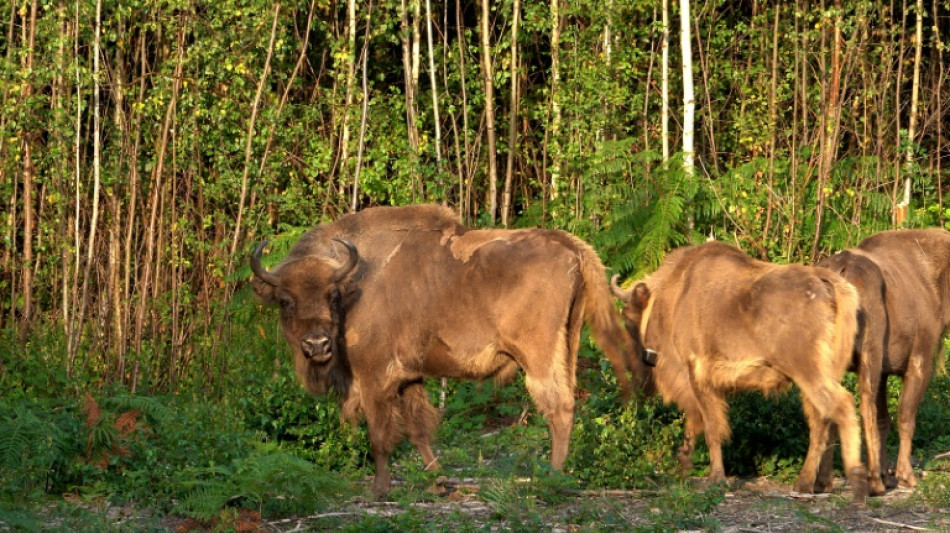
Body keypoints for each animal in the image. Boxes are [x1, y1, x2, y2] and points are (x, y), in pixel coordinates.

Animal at [249, 204, 644, 498]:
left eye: (332, 295)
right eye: (285, 301)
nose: (316, 345)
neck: (355, 283)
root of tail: (569, 244)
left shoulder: (374, 376)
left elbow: (380, 434)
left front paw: (379, 490)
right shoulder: (408, 378)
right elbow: (418, 429)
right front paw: (437, 481)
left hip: (538, 356)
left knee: (558, 407)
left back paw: (551, 478)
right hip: (569, 344)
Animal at [616, 240, 872, 498]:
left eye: (628, 317)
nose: (641, 366)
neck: (677, 292)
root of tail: (826, 281)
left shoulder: (697, 373)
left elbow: (711, 428)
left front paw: (715, 479)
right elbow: (697, 424)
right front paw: (684, 469)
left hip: (808, 372)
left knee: (840, 406)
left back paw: (853, 481)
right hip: (819, 376)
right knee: (823, 420)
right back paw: (811, 483)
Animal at [816, 225, 950, 494]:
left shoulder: (886, 371)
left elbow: (884, 420)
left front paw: (887, 474)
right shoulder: (920, 356)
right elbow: (906, 415)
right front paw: (904, 475)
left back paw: (822, 481)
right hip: (870, 351)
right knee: (864, 407)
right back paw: (873, 483)